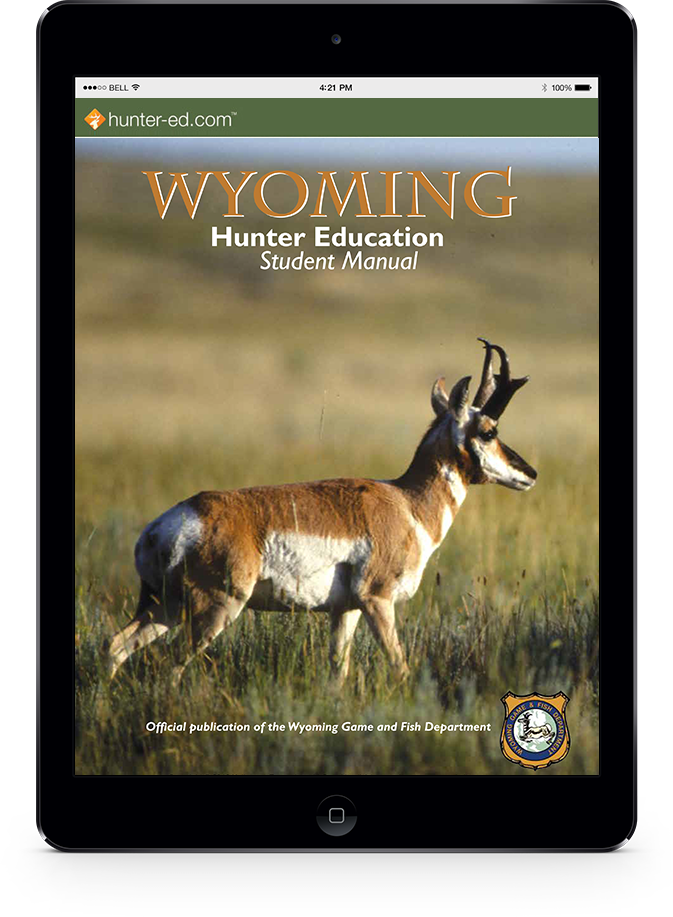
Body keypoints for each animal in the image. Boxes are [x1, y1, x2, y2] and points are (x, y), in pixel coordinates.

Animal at [105, 339, 537, 685]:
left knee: (117, 645)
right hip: (215, 608)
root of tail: (161, 527)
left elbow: (338, 672)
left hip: (165, 606)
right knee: (171, 665)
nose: (530, 473)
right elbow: (399, 666)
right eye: (489, 431)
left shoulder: (344, 611)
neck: (406, 503)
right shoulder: (376, 600)